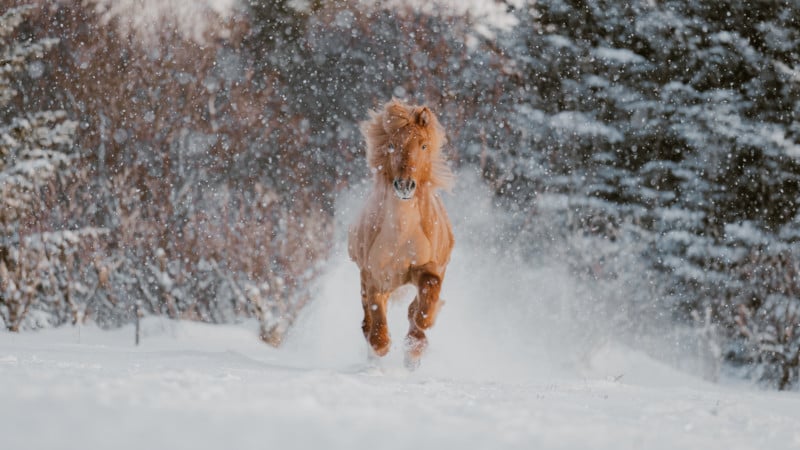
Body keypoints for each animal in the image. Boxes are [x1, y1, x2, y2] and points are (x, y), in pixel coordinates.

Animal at [346, 98, 454, 370]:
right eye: (392, 145)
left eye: (423, 145)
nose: (405, 185)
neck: (401, 234)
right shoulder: (375, 275)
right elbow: (377, 321)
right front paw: (382, 348)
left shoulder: (429, 268)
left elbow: (425, 301)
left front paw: (416, 343)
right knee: (368, 319)